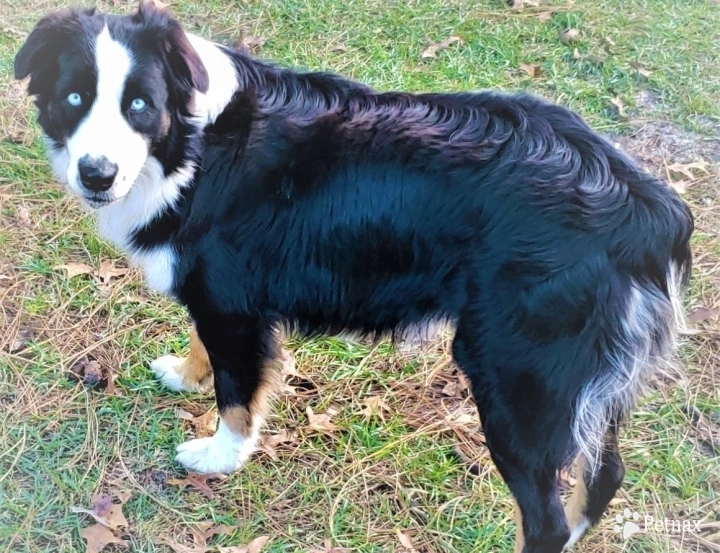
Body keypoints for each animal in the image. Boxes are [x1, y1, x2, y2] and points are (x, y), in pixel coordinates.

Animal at [15, 5, 692, 552]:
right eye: (73, 99)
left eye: (138, 106)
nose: (97, 174)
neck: (189, 144)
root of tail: (646, 204)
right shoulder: (219, 297)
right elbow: (207, 349)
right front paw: (186, 373)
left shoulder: (232, 304)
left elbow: (237, 393)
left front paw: (218, 457)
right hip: (581, 383)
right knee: (604, 475)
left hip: (515, 375)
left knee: (546, 519)